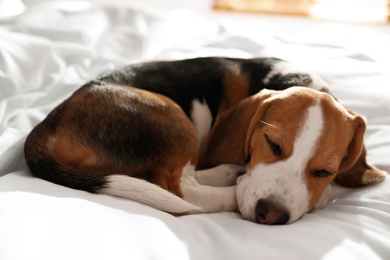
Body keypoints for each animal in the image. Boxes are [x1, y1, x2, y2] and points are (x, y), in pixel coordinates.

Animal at [24, 57, 386, 223]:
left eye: (325, 172)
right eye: (272, 144)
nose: (271, 214)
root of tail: (53, 119)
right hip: (170, 115)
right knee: (182, 189)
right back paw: (228, 181)